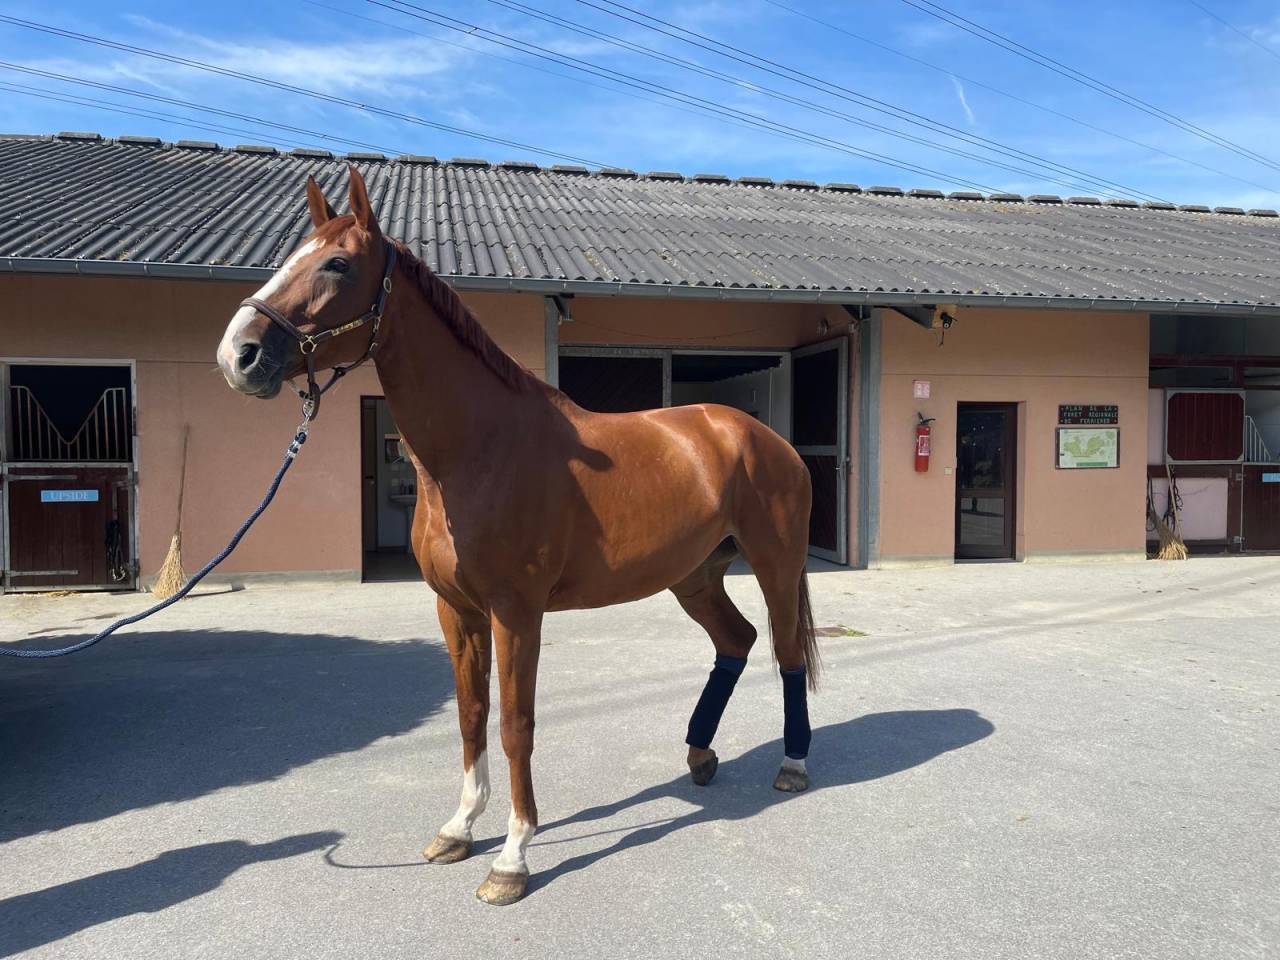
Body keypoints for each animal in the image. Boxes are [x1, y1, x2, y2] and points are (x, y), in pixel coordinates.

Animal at [216, 168, 821, 905]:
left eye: (336, 264)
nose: (239, 355)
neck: (478, 451)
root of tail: (759, 435)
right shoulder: (456, 610)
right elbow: (471, 714)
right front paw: (458, 829)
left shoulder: (516, 612)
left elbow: (514, 725)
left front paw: (512, 857)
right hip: (695, 577)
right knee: (736, 641)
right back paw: (700, 756)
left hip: (774, 564)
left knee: (787, 652)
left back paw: (792, 764)